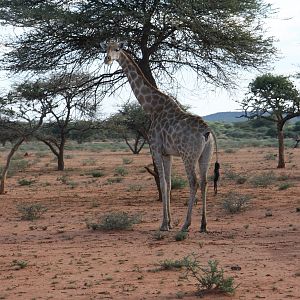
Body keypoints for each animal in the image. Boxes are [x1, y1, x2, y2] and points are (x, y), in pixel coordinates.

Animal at [102, 41, 218, 232]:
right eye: (106, 49)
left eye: (117, 49)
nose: (108, 59)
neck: (152, 108)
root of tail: (207, 132)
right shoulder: (167, 153)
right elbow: (169, 184)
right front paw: (168, 222)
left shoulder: (155, 148)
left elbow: (162, 184)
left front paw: (164, 224)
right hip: (205, 155)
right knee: (204, 182)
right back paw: (203, 225)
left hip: (188, 155)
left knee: (193, 182)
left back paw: (186, 224)